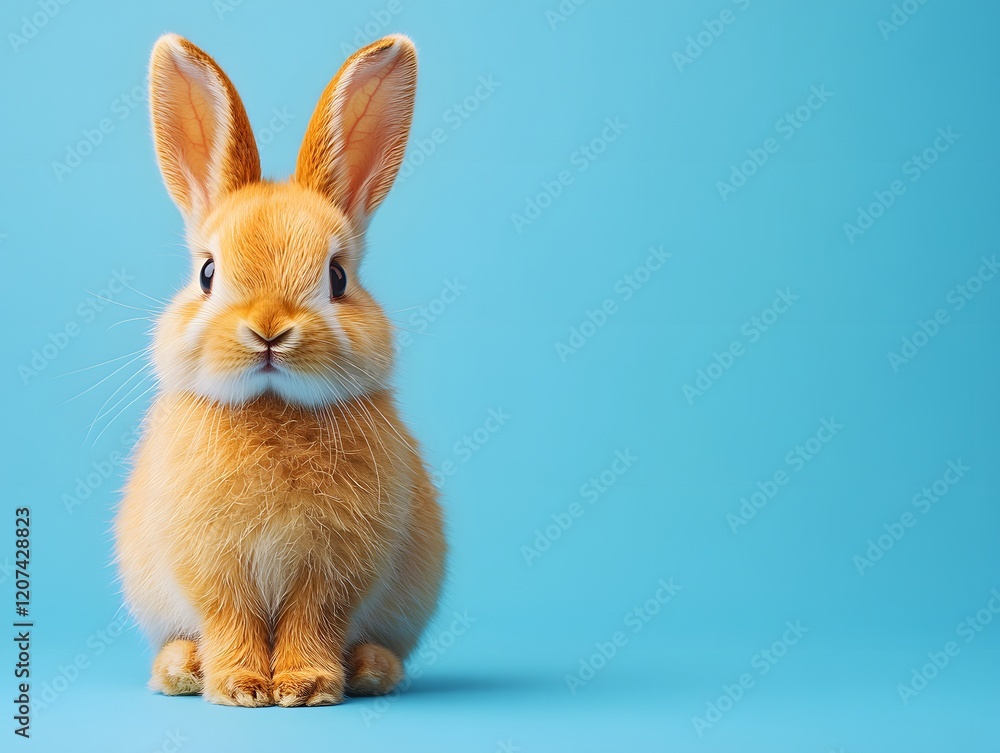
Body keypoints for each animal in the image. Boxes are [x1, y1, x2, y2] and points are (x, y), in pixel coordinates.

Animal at [114, 32, 446, 707]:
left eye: (338, 277)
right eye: (207, 273)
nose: (268, 330)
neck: (272, 407)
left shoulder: (335, 570)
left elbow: (312, 619)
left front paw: (304, 686)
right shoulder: (212, 565)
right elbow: (230, 616)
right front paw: (239, 686)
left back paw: (369, 668)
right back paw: (181, 668)